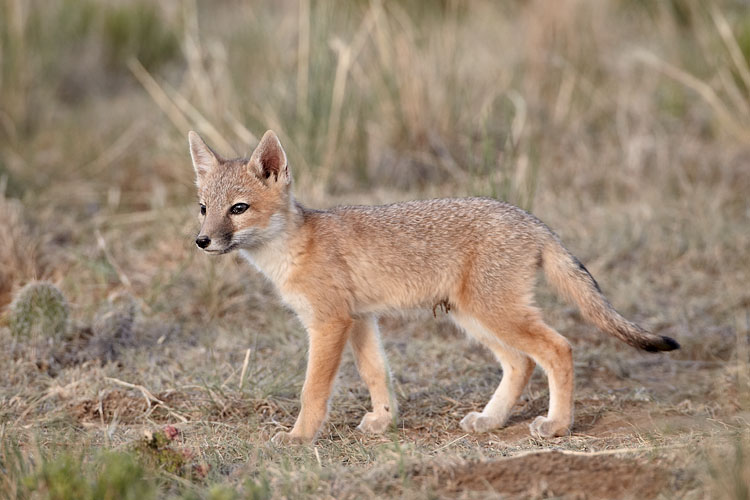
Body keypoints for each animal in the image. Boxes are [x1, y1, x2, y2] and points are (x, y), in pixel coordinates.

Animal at [188, 129, 679, 444]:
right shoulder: (360, 319)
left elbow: (313, 390)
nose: (202, 241)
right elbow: (377, 373)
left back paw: (556, 425)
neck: (295, 245)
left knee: (558, 349)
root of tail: (529, 218)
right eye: (204, 208)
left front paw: (299, 437)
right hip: (473, 317)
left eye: (238, 209)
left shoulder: (330, 323)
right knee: (521, 362)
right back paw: (491, 420)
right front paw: (384, 422)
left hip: (494, 314)